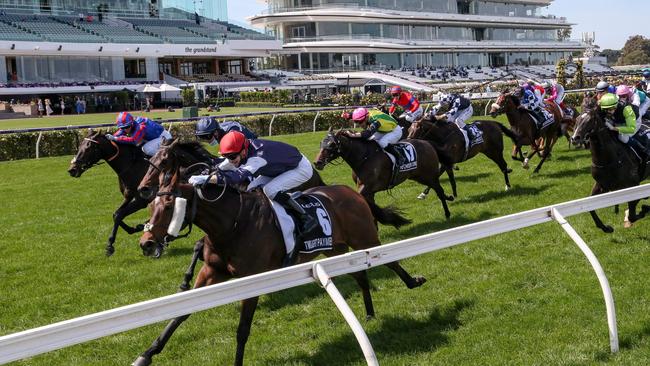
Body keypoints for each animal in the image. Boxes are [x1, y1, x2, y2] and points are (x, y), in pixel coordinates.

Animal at [131, 139, 426, 366]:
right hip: (335, 250)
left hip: (365, 238)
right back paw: (369, 314)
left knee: (390, 261)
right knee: (360, 276)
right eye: (152, 206)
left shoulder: (252, 281)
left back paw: (413, 282)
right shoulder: (212, 272)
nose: (146, 242)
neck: (233, 224)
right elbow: (181, 312)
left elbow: (242, 329)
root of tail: (351, 192)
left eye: (169, 206)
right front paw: (147, 354)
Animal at [312, 129, 450, 226]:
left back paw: (447, 212)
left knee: (439, 190)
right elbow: (370, 208)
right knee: (437, 188)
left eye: (332, 144)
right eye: (321, 143)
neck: (363, 157)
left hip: (428, 175)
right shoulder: (369, 191)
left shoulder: (366, 187)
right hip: (418, 176)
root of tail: (427, 142)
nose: (317, 162)